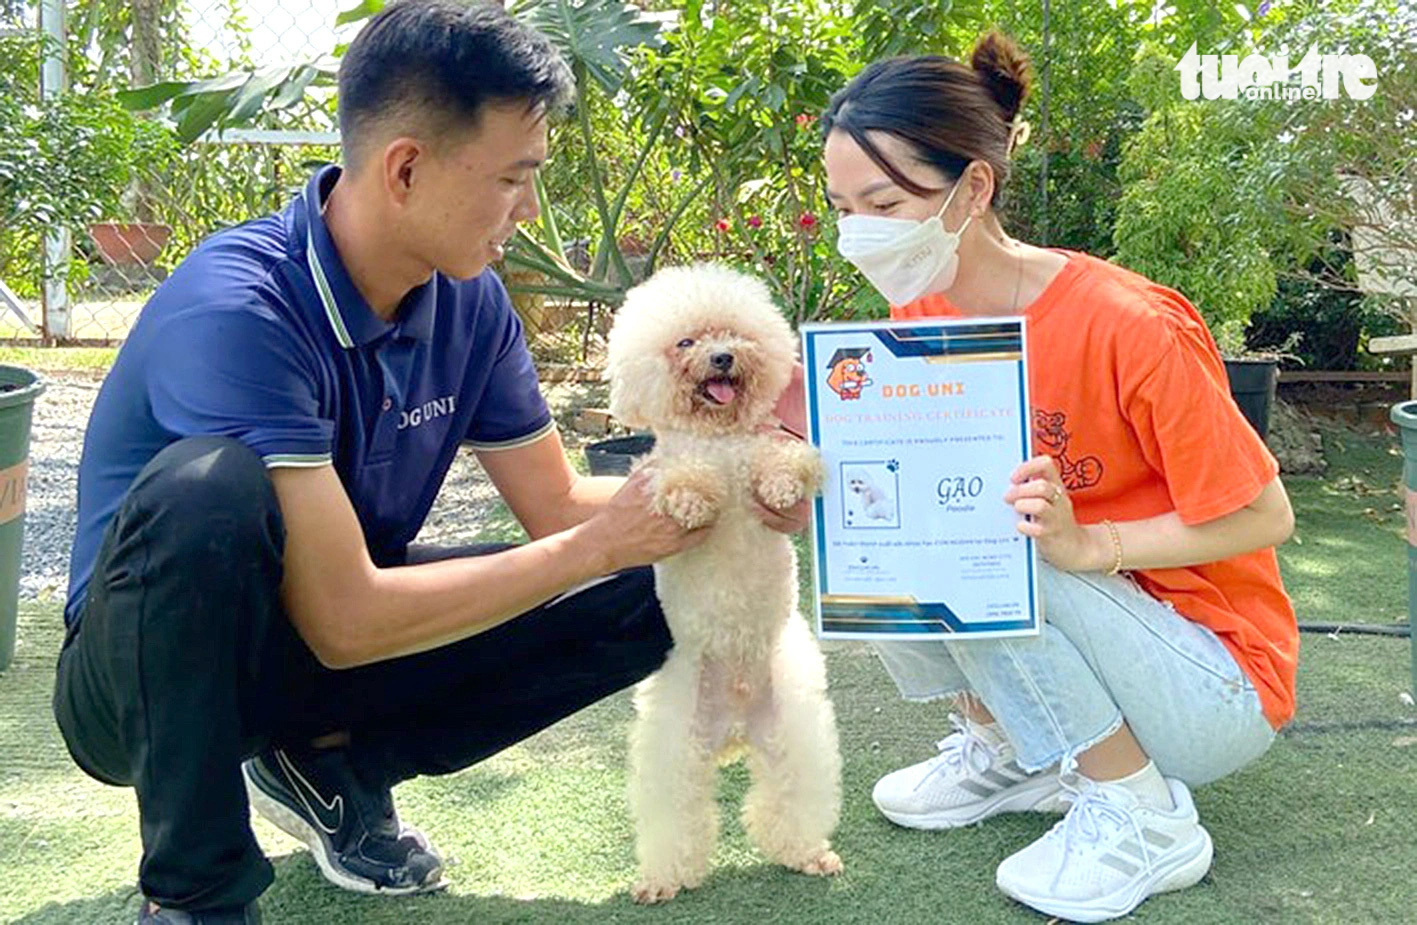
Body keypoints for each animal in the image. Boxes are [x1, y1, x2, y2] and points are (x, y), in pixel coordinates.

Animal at [606, 259, 838, 900]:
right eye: (685, 343)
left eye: (733, 334)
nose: (723, 358)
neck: (719, 438)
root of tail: (733, 725)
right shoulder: (663, 468)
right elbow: (680, 475)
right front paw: (693, 501)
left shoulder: (766, 447)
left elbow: (784, 459)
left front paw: (780, 489)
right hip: (676, 744)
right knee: (676, 813)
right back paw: (662, 879)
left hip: (790, 728)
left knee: (789, 800)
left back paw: (809, 854)